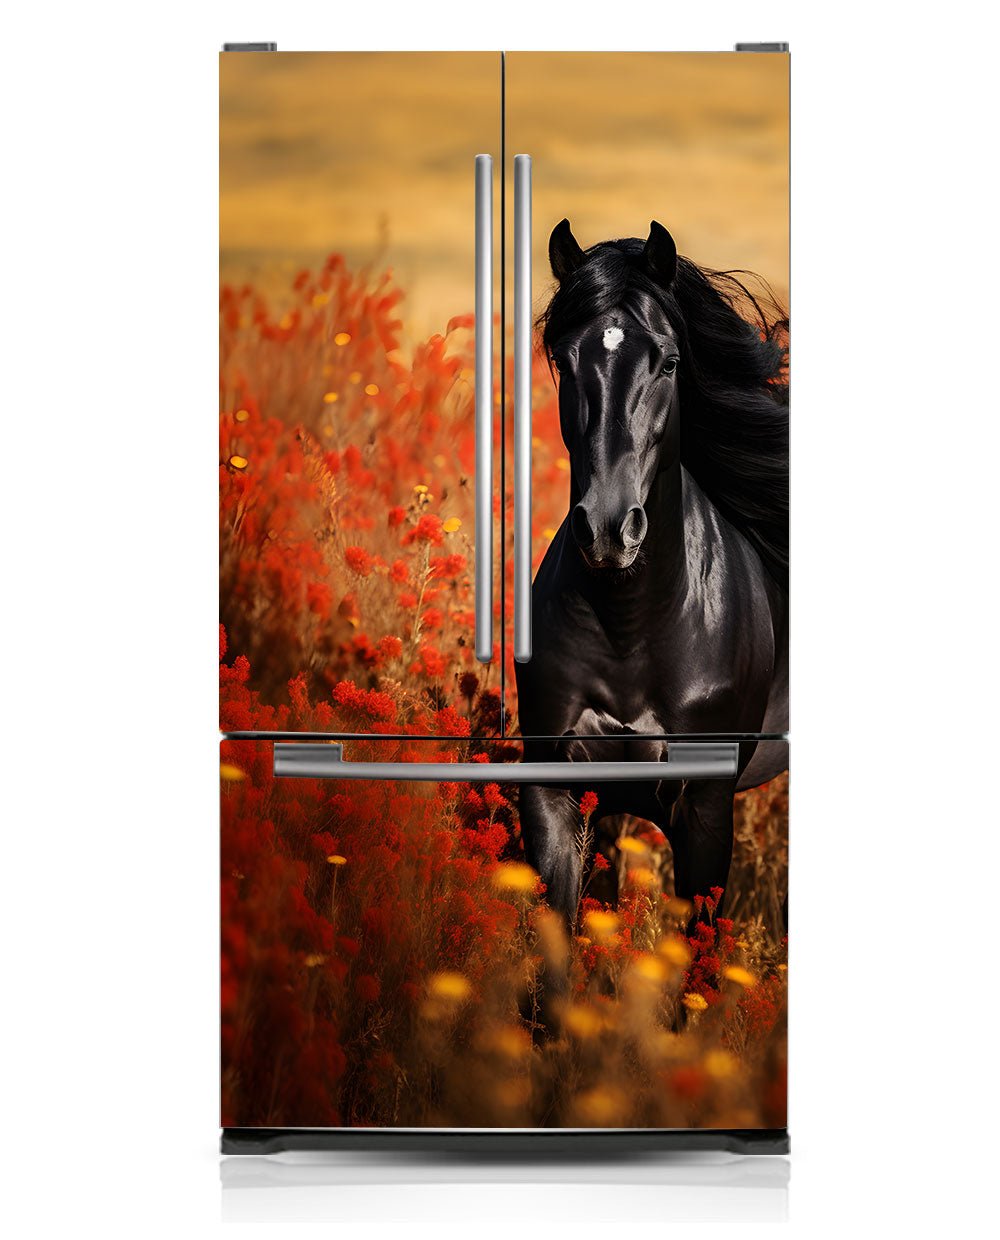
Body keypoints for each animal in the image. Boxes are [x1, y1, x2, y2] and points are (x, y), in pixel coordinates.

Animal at [515, 219, 789, 931]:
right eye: (564, 362)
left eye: (668, 362)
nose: (610, 530)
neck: (632, 628)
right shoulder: (557, 796)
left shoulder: (705, 811)